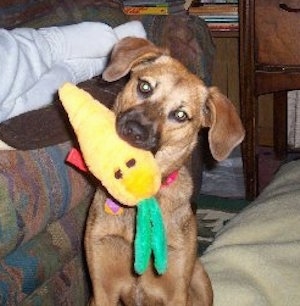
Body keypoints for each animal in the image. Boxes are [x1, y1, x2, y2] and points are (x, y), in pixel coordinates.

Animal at [84, 37, 244, 304]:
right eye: (145, 86)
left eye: (180, 114)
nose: (134, 130)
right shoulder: (102, 287)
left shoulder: (176, 288)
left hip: (200, 276)